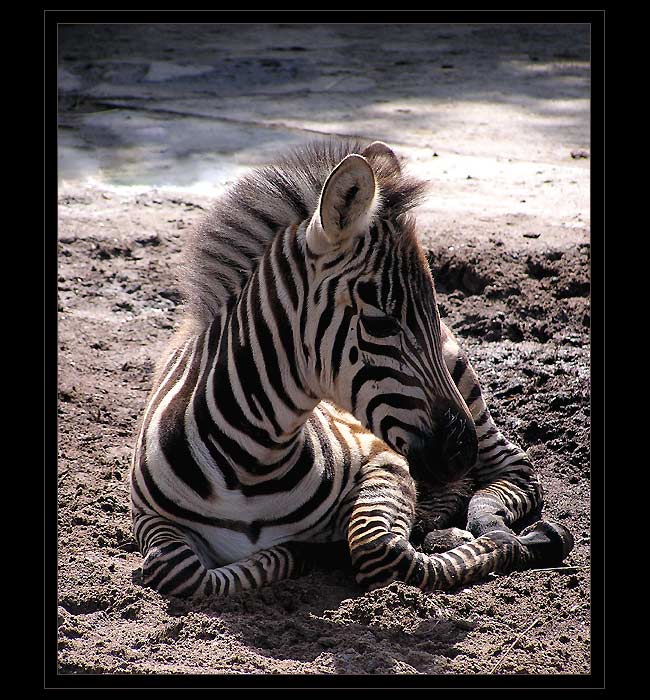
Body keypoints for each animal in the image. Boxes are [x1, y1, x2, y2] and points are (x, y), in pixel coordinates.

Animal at [129, 139, 574, 598]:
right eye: (380, 321)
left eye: (432, 312)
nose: (461, 452)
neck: (251, 467)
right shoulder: (149, 518)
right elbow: (178, 570)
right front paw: (295, 554)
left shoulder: (383, 459)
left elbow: (378, 548)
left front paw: (510, 542)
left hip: (464, 389)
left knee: (514, 469)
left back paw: (490, 523)